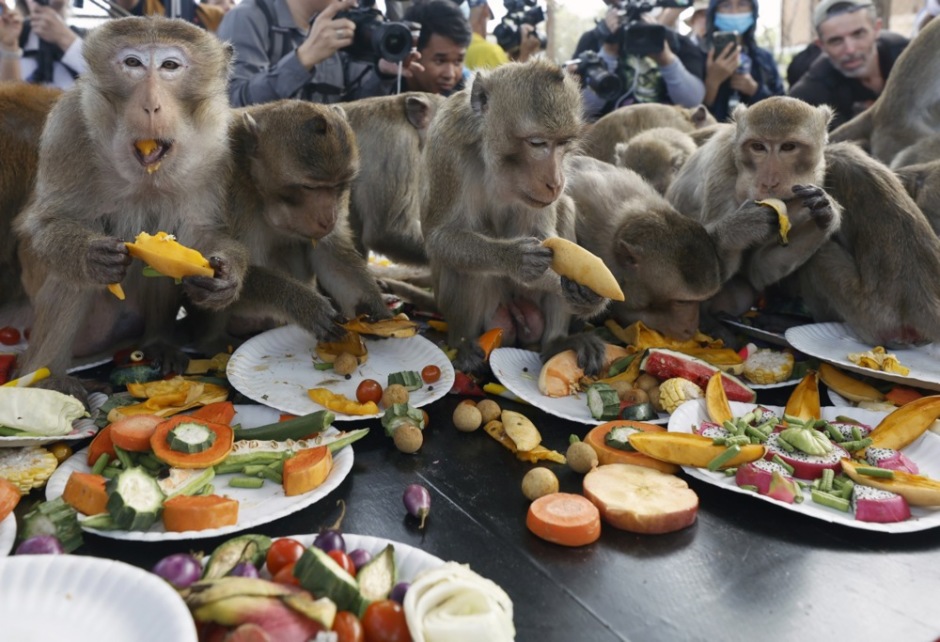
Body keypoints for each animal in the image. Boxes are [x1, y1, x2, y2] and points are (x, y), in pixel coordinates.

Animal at [13, 17, 248, 396]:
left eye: (170, 66)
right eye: (133, 63)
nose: (151, 105)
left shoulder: (218, 143)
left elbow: (200, 232)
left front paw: (226, 277)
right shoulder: (68, 125)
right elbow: (48, 223)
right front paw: (88, 254)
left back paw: (157, 343)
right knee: (70, 276)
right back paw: (46, 377)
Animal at [421, 60, 610, 375]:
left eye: (563, 143)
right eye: (537, 143)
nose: (555, 182)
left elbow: (546, 234)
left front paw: (585, 292)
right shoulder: (448, 148)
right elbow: (439, 237)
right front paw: (513, 257)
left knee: (565, 208)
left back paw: (557, 342)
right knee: (464, 264)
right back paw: (464, 345)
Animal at [665, 96, 841, 319]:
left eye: (788, 146)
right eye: (758, 146)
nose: (769, 182)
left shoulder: (812, 183)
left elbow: (756, 270)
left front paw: (827, 214)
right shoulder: (720, 169)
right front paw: (740, 228)